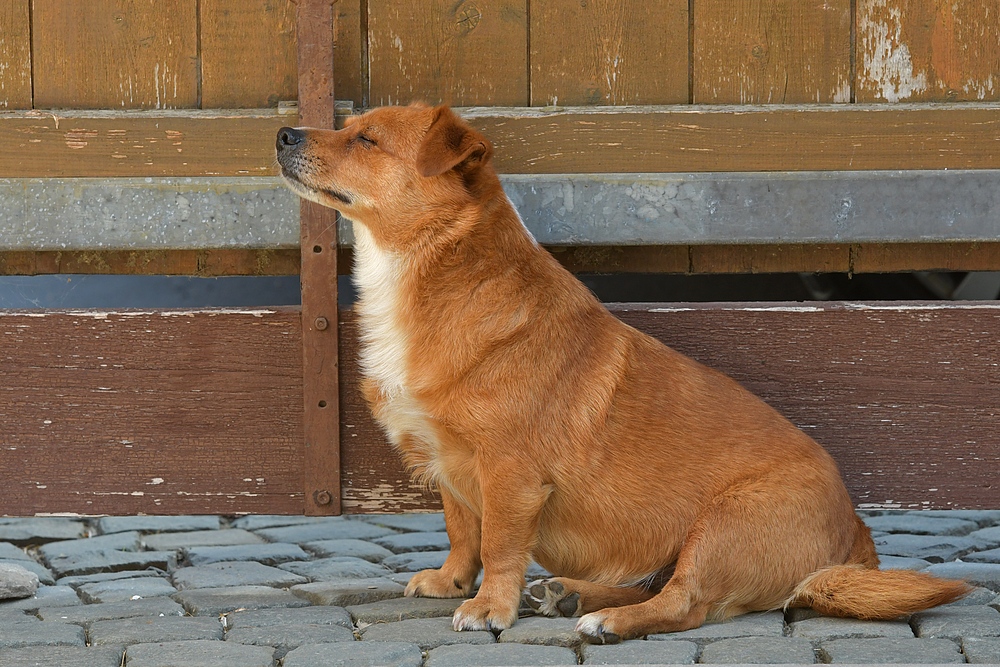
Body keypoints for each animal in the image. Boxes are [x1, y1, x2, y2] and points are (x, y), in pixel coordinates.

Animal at [274, 104, 968, 640]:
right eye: (347, 127)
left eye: (366, 139)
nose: (282, 133)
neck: (429, 275)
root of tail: (855, 534)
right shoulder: (451, 468)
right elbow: (462, 530)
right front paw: (451, 581)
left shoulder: (510, 476)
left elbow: (498, 544)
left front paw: (489, 607)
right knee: (658, 585)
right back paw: (572, 595)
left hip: (721, 527)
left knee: (685, 603)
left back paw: (604, 621)